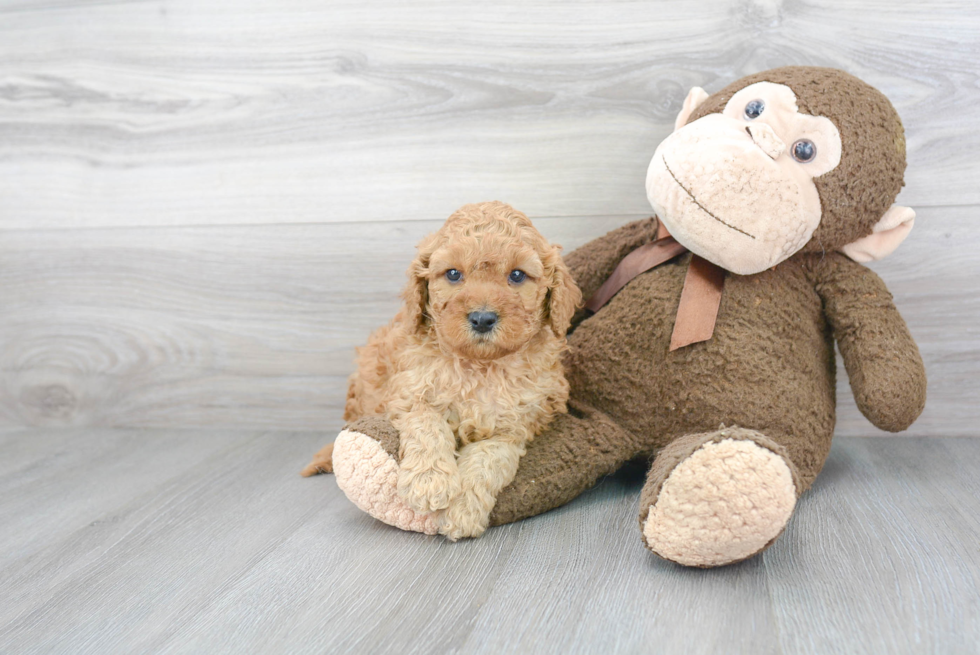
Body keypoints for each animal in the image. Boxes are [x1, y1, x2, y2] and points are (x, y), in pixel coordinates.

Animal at [304, 202, 580, 540]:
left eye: (517, 275)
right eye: (452, 274)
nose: (482, 318)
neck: (481, 366)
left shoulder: (515, 426)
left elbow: (487, 460)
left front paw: (463, 508)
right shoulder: (411, 392)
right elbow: (427, 426)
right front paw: (428, 481)